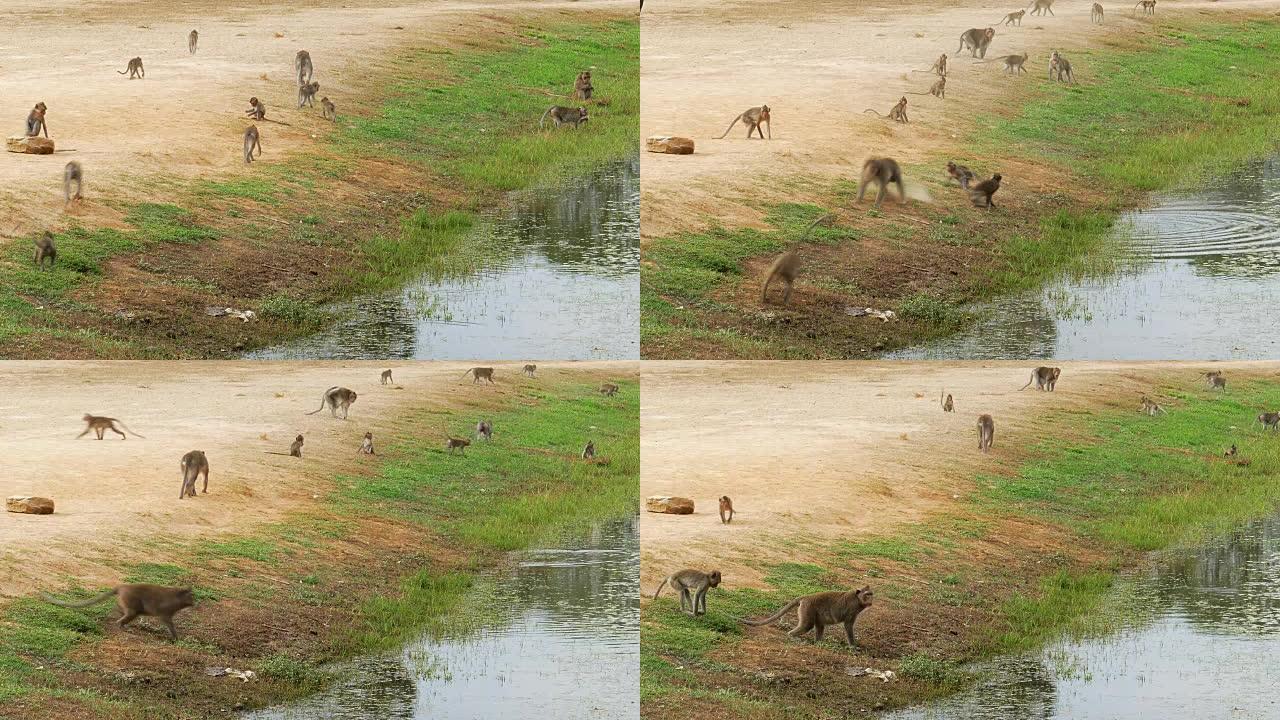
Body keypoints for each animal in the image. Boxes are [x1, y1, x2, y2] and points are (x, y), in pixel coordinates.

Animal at [41, 584, 194, 638]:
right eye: (191, 597)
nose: (194, 603)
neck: (176, 598)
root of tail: (122, 587)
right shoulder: (165, 613)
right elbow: (169, 624)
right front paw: (176, 638)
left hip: (128, 603)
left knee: (121, 610)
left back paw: (116, 616)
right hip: (132, 605)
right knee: (125, 617)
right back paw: (121, 626)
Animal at [737, 584, 875, 645]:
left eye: (871, 594)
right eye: (867, 594)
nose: (871, 600)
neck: (858, 599)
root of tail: (806, 597)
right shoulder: (852, 608)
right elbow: (848, 625)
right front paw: (853, 646)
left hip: (813, 610)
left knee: (819, 624)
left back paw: (818, 642)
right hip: (807, 608)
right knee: (807, 625)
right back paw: (791, 635)